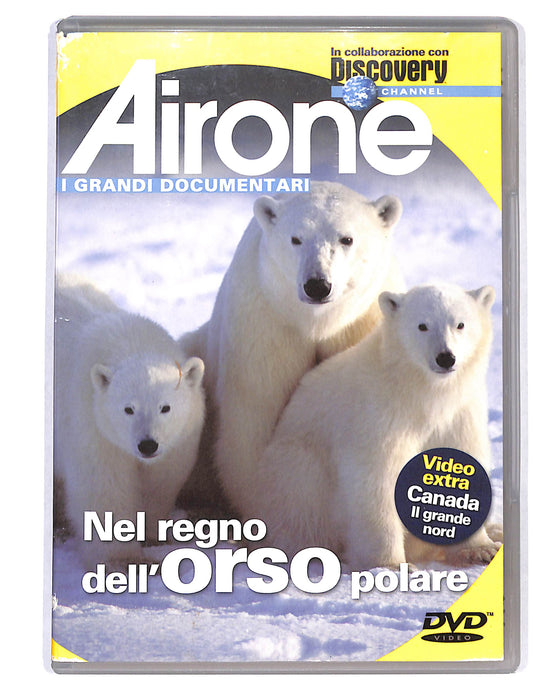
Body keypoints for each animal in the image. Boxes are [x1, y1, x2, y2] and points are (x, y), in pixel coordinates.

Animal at [54, 275, 205, 567]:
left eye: (165, 407)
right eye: (128, 409)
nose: (147, 445)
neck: (132, 343)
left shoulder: (179, 439)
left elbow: (160, 481)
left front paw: (153, 534)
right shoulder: (93, 426)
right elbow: (104, 489)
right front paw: (123, 560)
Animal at [179, 181, 404, 515]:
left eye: (347, 238)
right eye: (296, 238)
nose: (317, 285)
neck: (316, 324)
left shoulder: (362, 322)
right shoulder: (267, 325)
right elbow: (253, 417)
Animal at [243, 282, 500, 571]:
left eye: (460, 324)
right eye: (422, 325)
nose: (446, 357)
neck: (422, 393)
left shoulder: (460, 413)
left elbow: (462, 463)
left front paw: (481, 549)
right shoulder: (379, 415)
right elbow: (377, 480)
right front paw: (391, 564)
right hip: (297, 468)